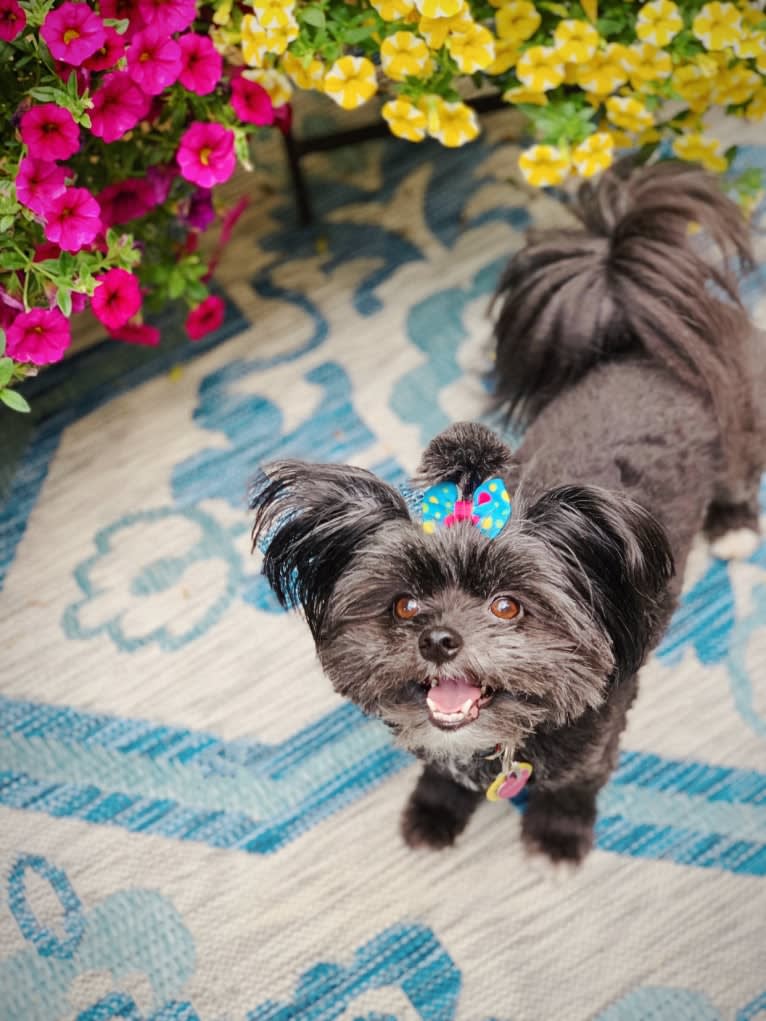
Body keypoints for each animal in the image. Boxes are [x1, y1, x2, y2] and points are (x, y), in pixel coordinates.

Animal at [249, 163, 763, 865]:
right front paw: (434, 810)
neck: (501, 738)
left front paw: (558, 834)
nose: (438, 640)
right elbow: (439, 768)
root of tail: (638, 344)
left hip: (736, 423)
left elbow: (576, 781)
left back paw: (734, 525)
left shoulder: (598, 732)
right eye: (404, 605)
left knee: (740, 470)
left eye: (507, 607)